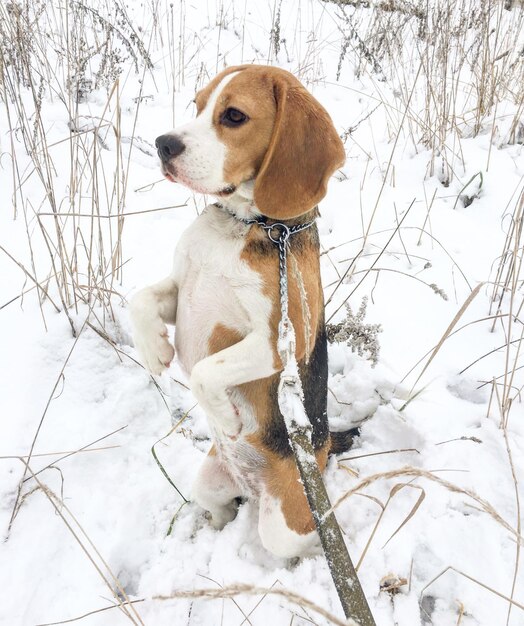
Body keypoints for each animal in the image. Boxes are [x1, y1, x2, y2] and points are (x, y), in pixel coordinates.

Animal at [131, 66, 352, 556]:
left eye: (234, 115)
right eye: (197, 105)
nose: (162, 144)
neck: (247, 223)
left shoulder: (278, 344)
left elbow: (204, 371)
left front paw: (225, 416)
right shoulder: (182, 291)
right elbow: (140, 299)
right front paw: (154, 350)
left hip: (284, 529)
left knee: (301, 539)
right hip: (209, 482)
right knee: (220, 506)